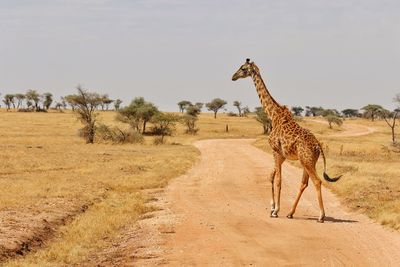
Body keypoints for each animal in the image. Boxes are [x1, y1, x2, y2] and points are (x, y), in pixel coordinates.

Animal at [231, 59, 340, 224]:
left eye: (243, 68)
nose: (233, 77)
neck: (273, 114)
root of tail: (318, 147)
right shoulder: (281, 155)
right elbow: (271, 176)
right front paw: (272, 208)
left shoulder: (275, 150)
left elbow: (278, 180)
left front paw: (276, 211)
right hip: (308, 162)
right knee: (304, 183)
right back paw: (290, 213)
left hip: (306, 161)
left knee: (317, 181)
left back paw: (321, 216)